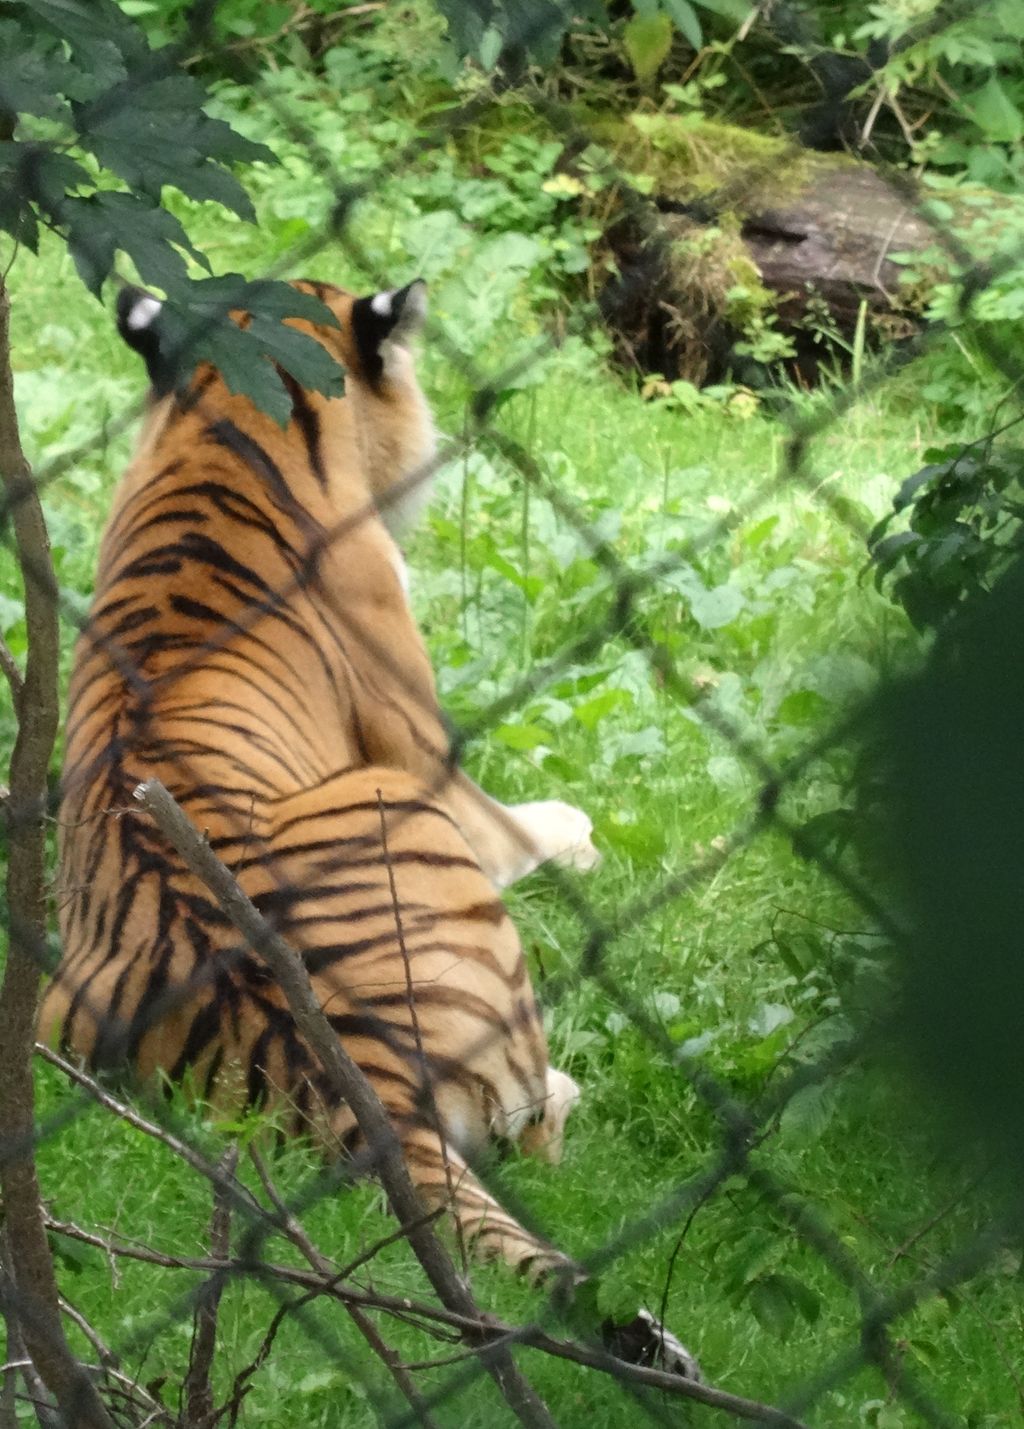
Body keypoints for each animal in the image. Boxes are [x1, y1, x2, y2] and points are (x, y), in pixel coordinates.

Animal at [41, 272, 599, 1280]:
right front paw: (578, 833)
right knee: (538, 1124)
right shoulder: (429, 758)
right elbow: (521, 825)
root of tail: (356, 1081)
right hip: (407, 813)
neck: (221, 423)